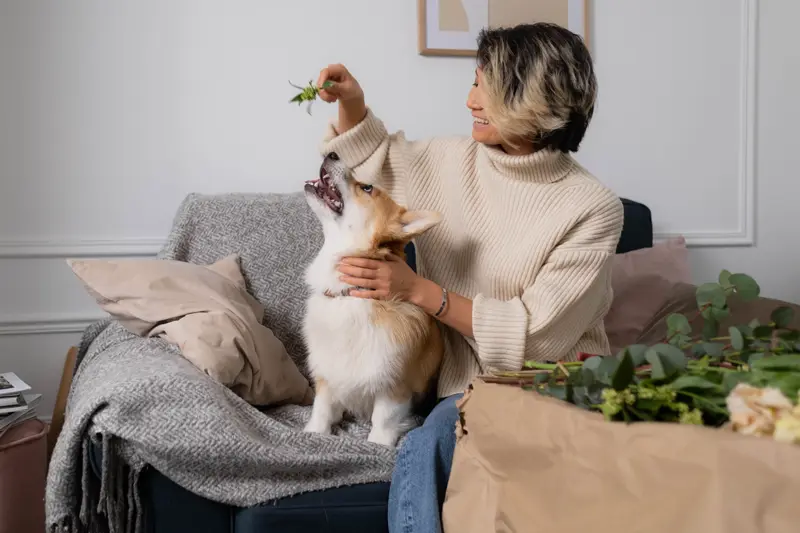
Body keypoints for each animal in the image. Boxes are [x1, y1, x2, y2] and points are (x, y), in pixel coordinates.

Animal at [304, 152, 446, 446]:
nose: (332, 153)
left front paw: (378, 443)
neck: (350, 295)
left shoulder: (394, 387)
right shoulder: (327, 377)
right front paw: (315, 432)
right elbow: (321, 409)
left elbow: (382, 422)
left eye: (367, 187)